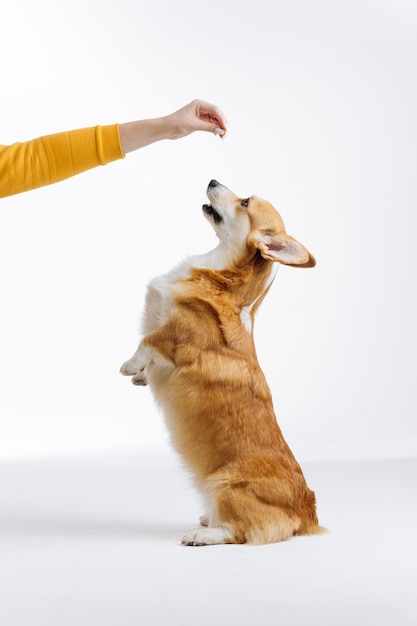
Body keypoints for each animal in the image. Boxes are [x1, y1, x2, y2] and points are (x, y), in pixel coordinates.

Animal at [120, 178, 322, 544]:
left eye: (244, 202)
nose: (212, 180)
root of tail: (306, 513)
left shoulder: (174, 336)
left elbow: (148, 341)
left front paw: (131, 366)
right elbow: (150, 358)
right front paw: (141, 376)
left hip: (225, 484)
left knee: (239, 531)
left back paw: (203, 534)